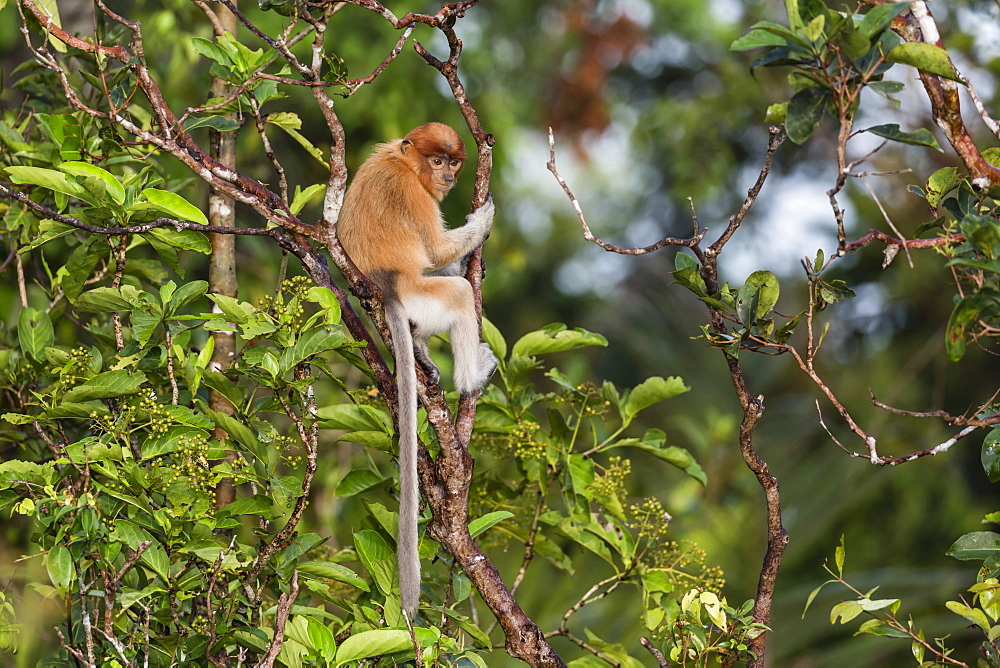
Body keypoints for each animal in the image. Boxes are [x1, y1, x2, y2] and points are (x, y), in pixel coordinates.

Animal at [336, 122, 496, 620]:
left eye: (453, 161)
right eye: (437, 160)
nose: (448, 176)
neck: (405, 162)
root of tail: (386, 284)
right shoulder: (416, 194)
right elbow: (437, 247)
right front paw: (484, 217)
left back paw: (423, 351)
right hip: (420, 291)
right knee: (456, 289)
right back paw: (472, 377)